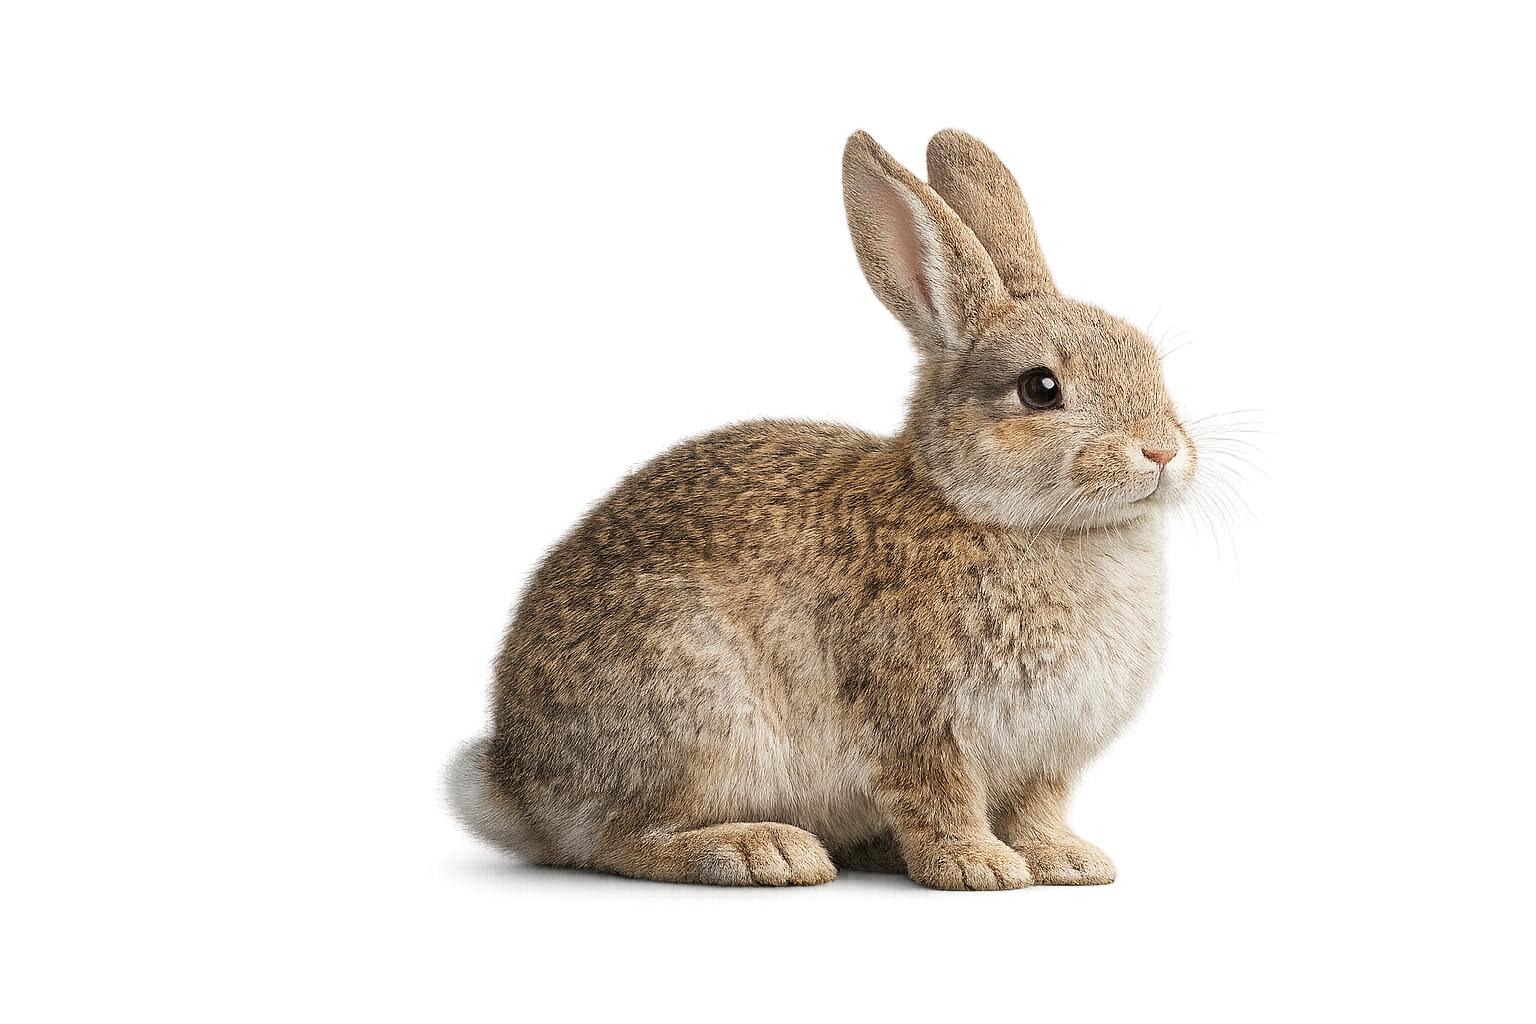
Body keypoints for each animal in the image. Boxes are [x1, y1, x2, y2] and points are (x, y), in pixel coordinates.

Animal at [470, 129, 1197, 889]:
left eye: (1151, 362)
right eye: (1040, 388)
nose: (1162, 451)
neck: (1008, 519)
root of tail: (516, 784)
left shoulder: (1049, 755)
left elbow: (1036, 808)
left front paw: (1066, 859)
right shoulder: (916, 718)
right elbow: (939, 798)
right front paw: (977, 867)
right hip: (701, 714)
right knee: (618, 842)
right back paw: (762, 851)